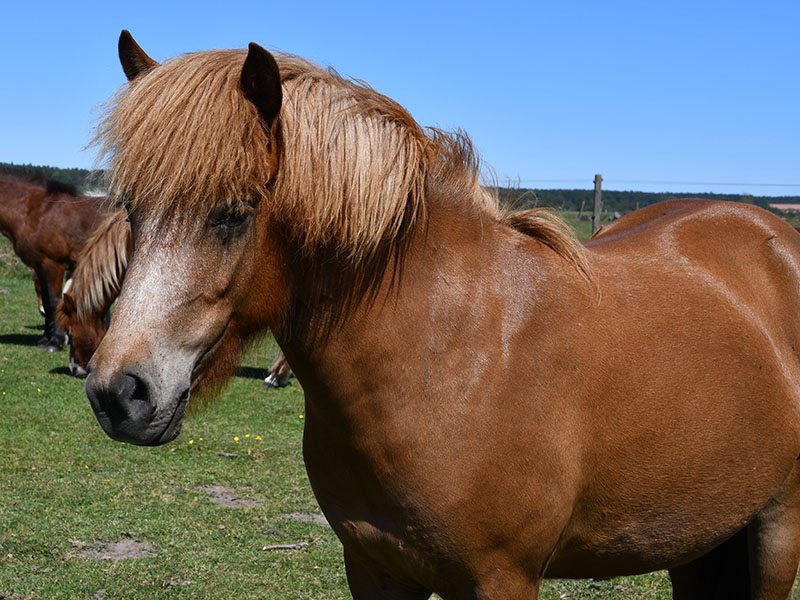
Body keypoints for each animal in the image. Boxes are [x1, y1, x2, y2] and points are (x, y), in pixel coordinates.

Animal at [0, 176, 109, 350]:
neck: (34, 213)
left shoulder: (52, 265)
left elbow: (54, 302)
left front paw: (56, 342)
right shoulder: (40, 267)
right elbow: (46, 301)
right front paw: (46, 339)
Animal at [84, 30, 800, 596]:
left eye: (233, 214)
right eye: (131, 209)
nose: (118, 393)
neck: (443, 353)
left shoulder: (501, 578)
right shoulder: (376, 570)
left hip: (775, 531)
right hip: (697, 540)